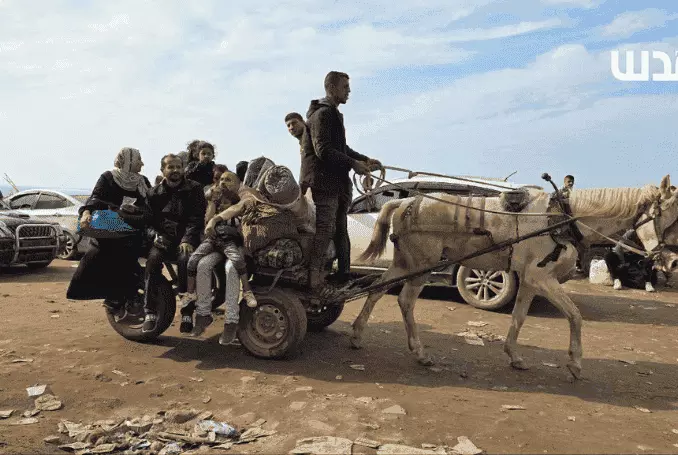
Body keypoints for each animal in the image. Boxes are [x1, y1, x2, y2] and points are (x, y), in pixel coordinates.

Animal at [354, 175, 678, 382]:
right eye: (671, 216)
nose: (673, 261)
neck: (560, 218)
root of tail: (407, 203)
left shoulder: (530, 279)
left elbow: (519, 317)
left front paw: (514, 356)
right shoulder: (541, 276)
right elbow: (574, 315)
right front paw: (574, 363)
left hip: (405, 262)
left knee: (376, 290)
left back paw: (359, 333)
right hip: (422, 264)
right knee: (404, 300)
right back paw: (417, 352)